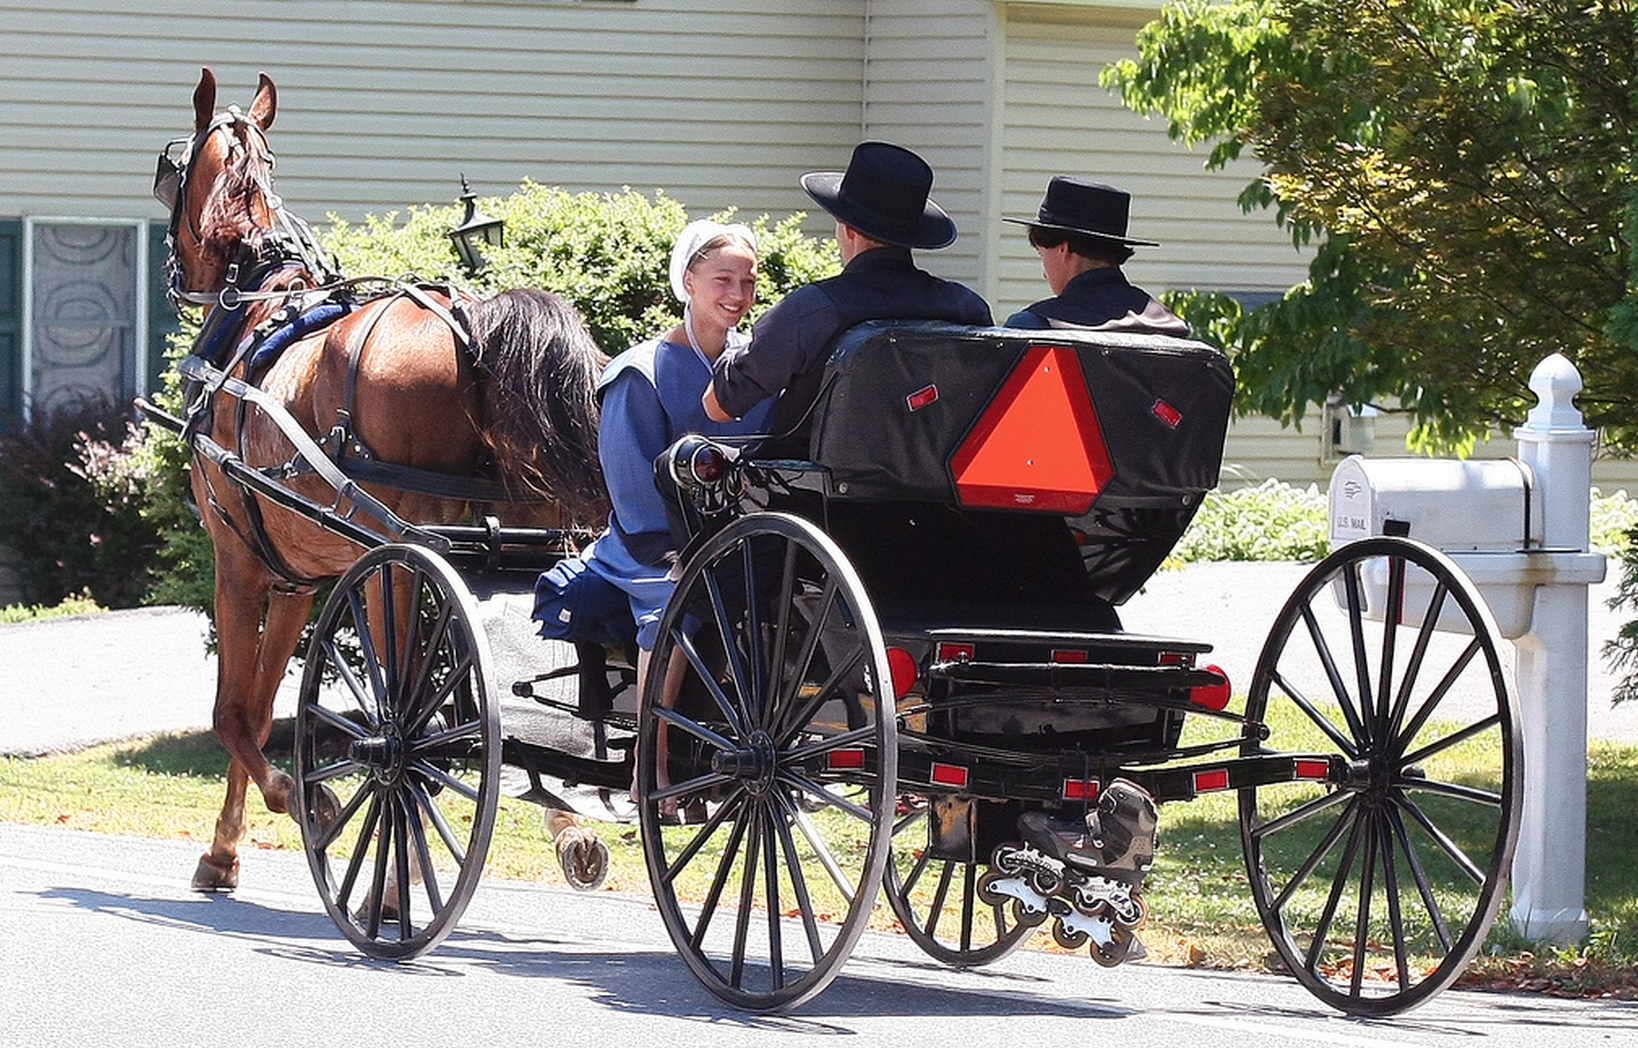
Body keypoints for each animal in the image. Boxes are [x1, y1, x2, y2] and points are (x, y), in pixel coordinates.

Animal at [159, 69, 612, 890]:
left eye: (170, 172)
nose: (177, 275)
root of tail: (473, 322)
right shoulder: (296, 578)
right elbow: (262, 704)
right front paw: (224, 851)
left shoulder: (238, 560)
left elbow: (232, 714)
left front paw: (299, 801)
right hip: (521, 533)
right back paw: (568, 823)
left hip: (399, 559)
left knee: (417, 711)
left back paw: (397, 873)